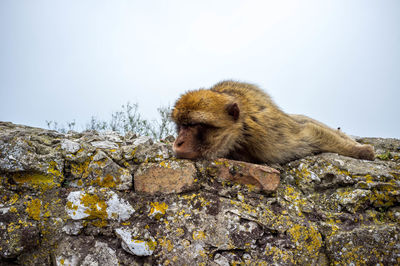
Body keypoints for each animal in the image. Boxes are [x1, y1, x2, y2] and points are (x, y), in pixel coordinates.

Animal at [171, 80, 376, 164]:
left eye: (195, 125)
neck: (239, 135)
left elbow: (308, 134)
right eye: (182, 126)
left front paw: (361, 151)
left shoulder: (266, 137)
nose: (178, 142)